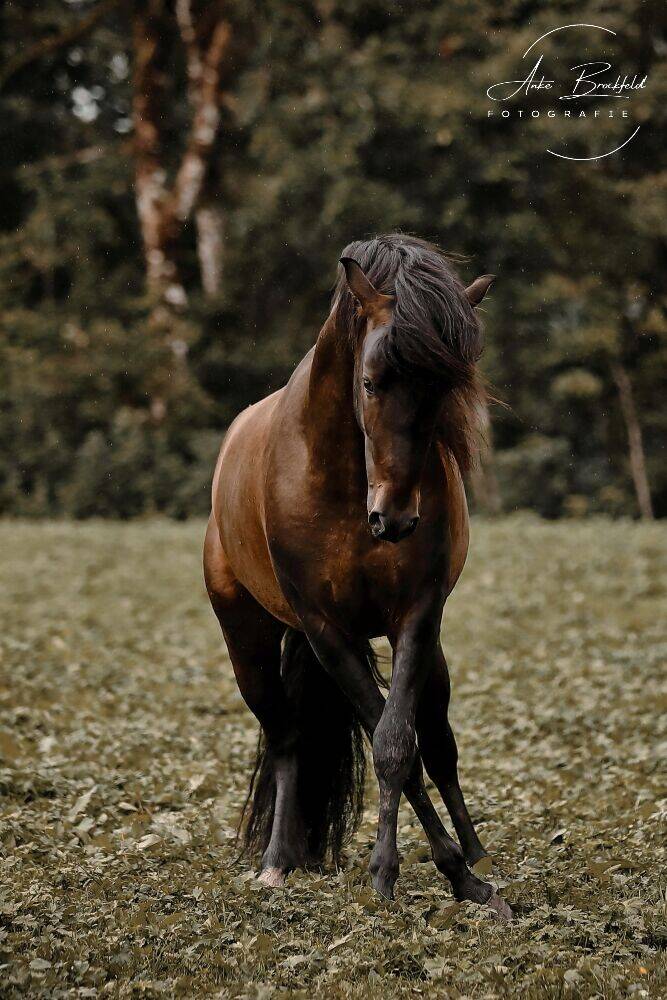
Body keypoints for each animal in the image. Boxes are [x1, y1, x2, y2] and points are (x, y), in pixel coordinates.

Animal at [204, 233, 512, 920]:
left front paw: (462, 879)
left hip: (430, 652)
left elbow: (401, 744)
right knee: (286, 738)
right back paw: (276, 863)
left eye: (444, 389)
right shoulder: (327, 630)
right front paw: (392, 873)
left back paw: (479, 861)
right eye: (370, 382)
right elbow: (386, 741)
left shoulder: (417, 618)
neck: (344, 481)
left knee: (441, 744)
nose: (394, 518)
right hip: (248, 644)